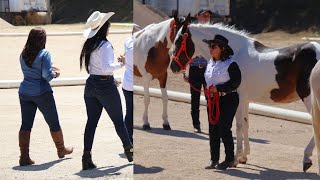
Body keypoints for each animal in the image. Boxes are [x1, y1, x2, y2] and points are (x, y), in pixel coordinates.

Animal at [171, 21, 320, 172]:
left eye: (179, 41)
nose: (173, 67)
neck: (234, 54)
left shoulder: (238, 99)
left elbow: (238, 126)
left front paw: (235, 159)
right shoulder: (245, 101)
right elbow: (246, 124)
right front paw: (244, 157)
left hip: (309, 98)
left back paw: (306, 159)